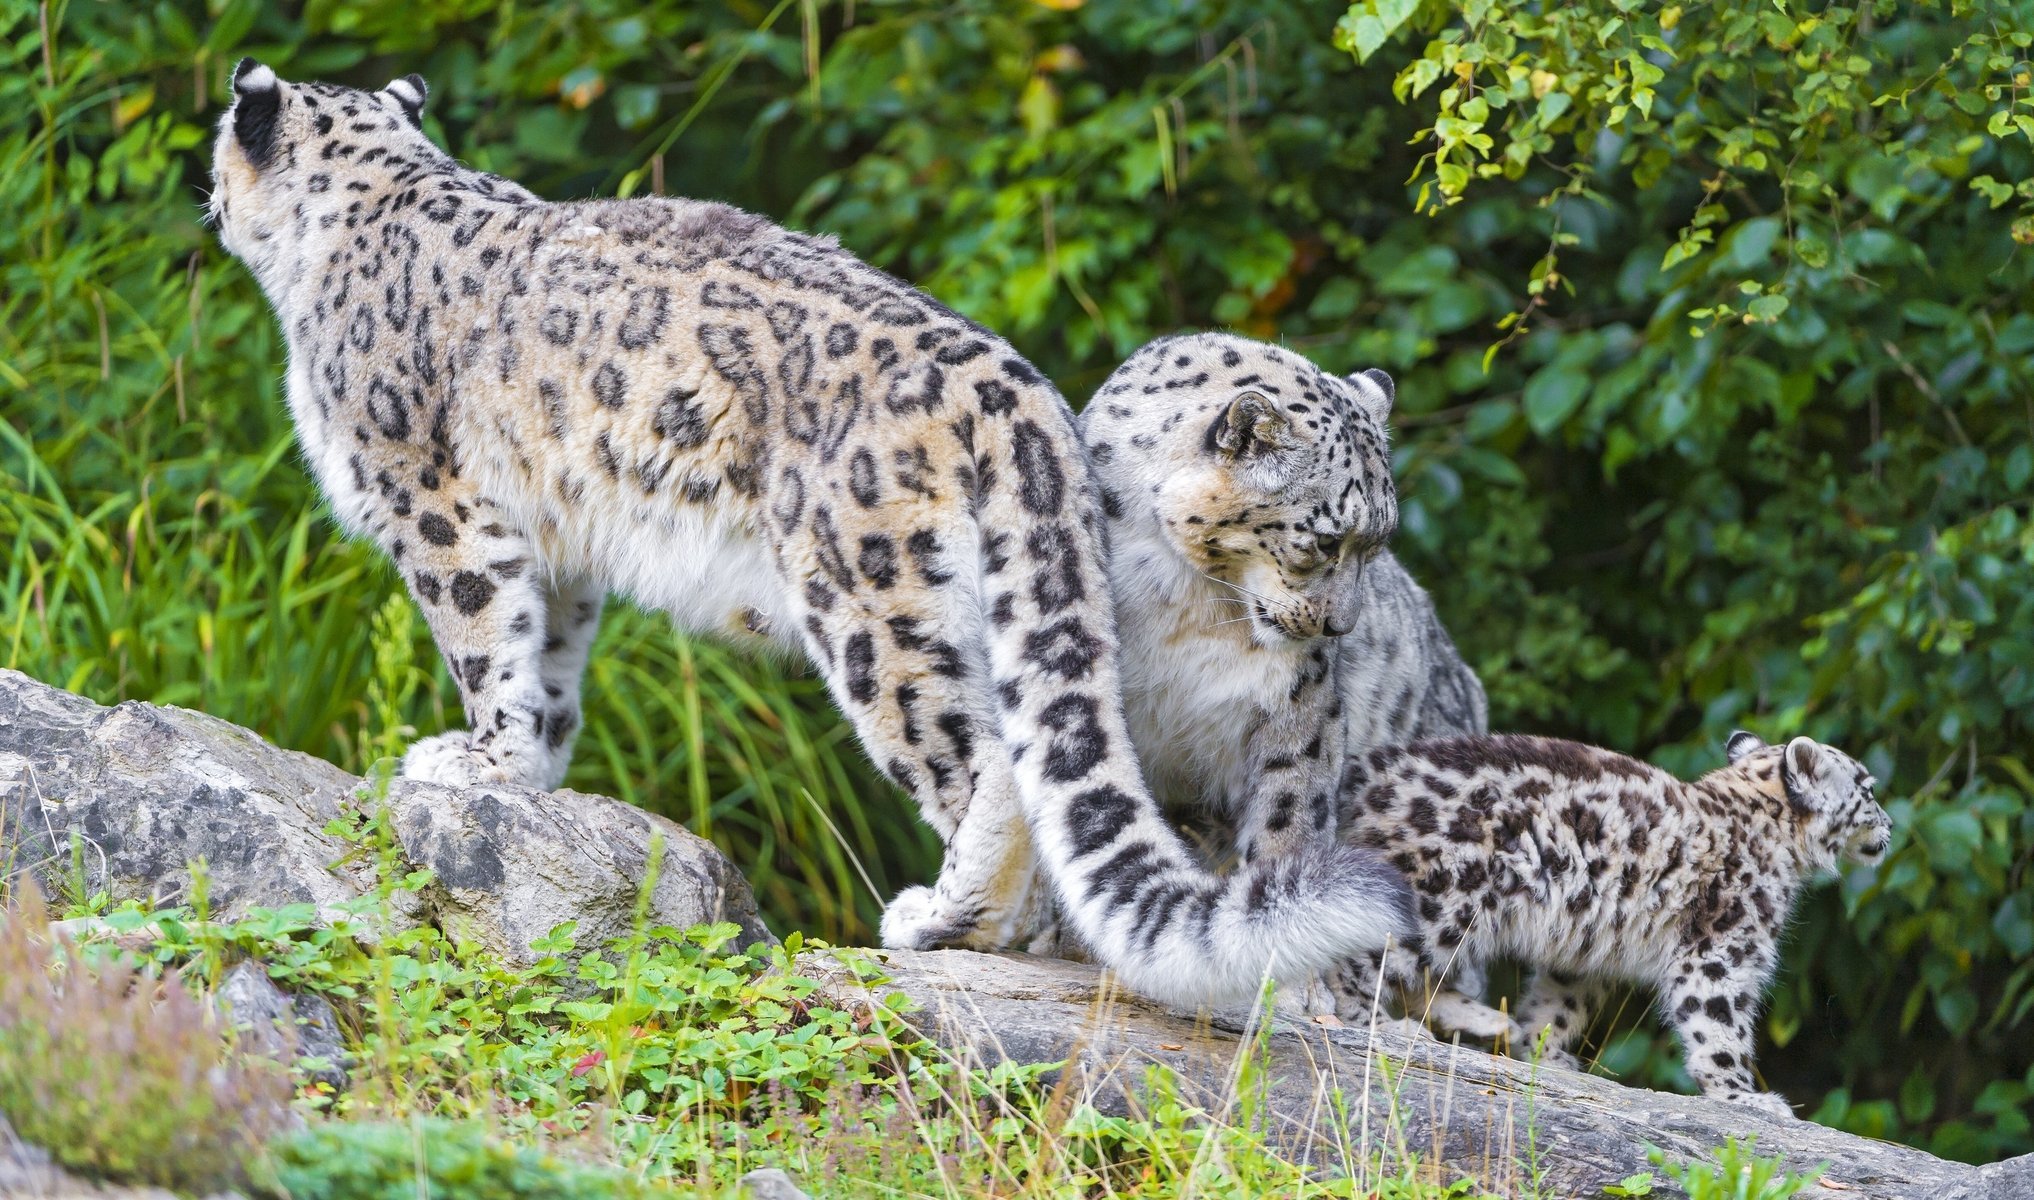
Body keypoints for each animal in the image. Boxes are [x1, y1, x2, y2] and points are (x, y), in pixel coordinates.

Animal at [210, 61, 1415, 1012]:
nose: (205, 198)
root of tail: (1016, 389)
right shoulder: (559, 544)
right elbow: (547, 657)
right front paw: (535, 770)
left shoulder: (434, 501)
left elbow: (481, 634)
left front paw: (475, 761)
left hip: (870, 599)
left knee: (986, 758)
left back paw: (945, 920)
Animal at [1082, 333, 1497, 870]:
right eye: (1326, 541)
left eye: (1377, 544)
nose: (1340, 627)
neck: (1186, 604)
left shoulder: (1299, 702)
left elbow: (1287, 814)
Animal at [1334, 728, 1887, 1122]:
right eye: (1866, 789)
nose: (1889, 824)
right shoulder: (1720, 951)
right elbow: (1718, 1026)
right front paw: (1744, 1097)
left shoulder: (1583, 955)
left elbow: (1558, 1004)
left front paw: (1542, 1053)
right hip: (1438, 901)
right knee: (1354, 962)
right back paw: (1377, 1024)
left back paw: (1486, 1021)